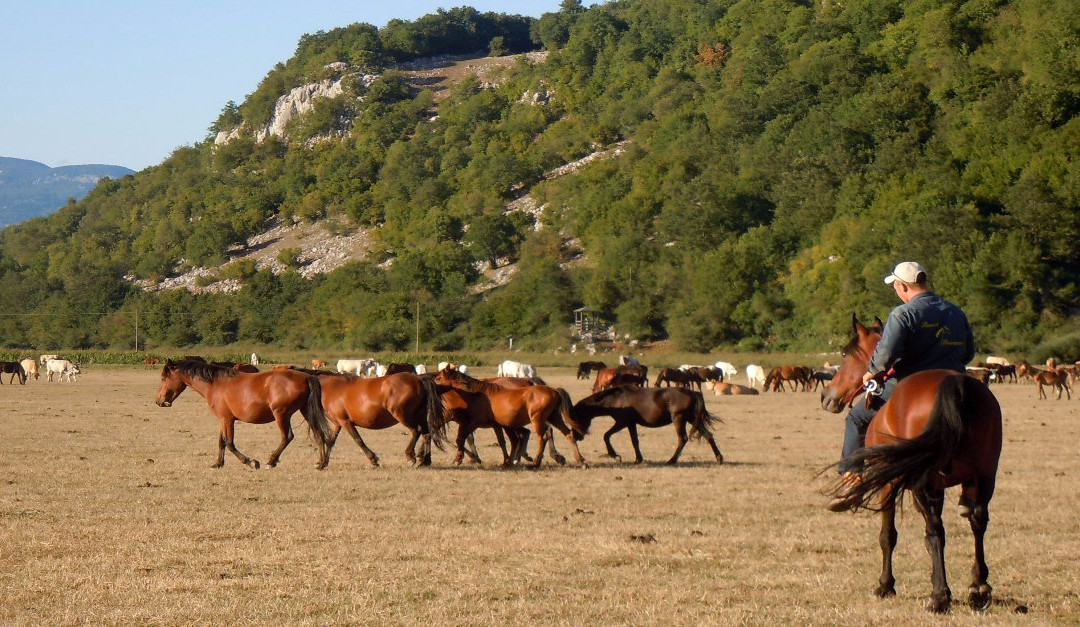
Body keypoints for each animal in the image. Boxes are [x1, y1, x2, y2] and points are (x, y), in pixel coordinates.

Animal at [153, 356, 328, 470]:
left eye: (164, 378)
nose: (158, 401)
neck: (215, 384)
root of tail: (307, 377)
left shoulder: (228, 420)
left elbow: (230, 443)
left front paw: (250, 461)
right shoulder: (223, 420)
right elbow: (221, 442)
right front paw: (218, 463)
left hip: (281, 415)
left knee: (287, 437)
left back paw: (271, 461)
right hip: (306, 411)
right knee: (318, 434)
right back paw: (321, 463)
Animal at [315, 369, 444, 466]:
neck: (333, 388)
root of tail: (418, 379)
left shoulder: (345, 422)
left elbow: (358, 440)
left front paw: (373, 459)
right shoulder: (337, 423)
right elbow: (330, 441)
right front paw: (322, 463)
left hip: (403, 415)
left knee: (416, 431)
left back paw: (410, 456)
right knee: (426, 434)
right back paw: (424, 461)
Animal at [432, 366, 591, 464]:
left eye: (439, 378)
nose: (431, 384)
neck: (476, 394)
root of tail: (553, 390)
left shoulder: (473, 423)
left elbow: (461, 439)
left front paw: (460, 459)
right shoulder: (494, 424)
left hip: (537, 419)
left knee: (543, 436)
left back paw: (536, 461)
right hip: (553, 418)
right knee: (568, 434)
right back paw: (580, 460)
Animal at [574, 386, 725, 464]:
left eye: (575, 417)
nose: (577, 437)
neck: (617, 399)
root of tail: (692, 392)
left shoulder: (622, 422)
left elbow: (606, 436)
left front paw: (614, 455)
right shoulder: (631, 423)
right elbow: (634, 441)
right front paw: (638, 459)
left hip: (679, 419)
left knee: (683, 439)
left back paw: (672, 460)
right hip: (692, 419)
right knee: (708, 435)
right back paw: (719, 458)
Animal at [816, 312, 1002, 612]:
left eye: (845, 354)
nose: (826, 396)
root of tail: (956, 385)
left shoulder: (889, 483)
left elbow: (888, 535)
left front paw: (885, 585)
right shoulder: (939, 487)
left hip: (921, 482)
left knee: (935, 530)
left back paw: (939, 596)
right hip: (983, 476)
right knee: (977, 521)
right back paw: (979, 587)